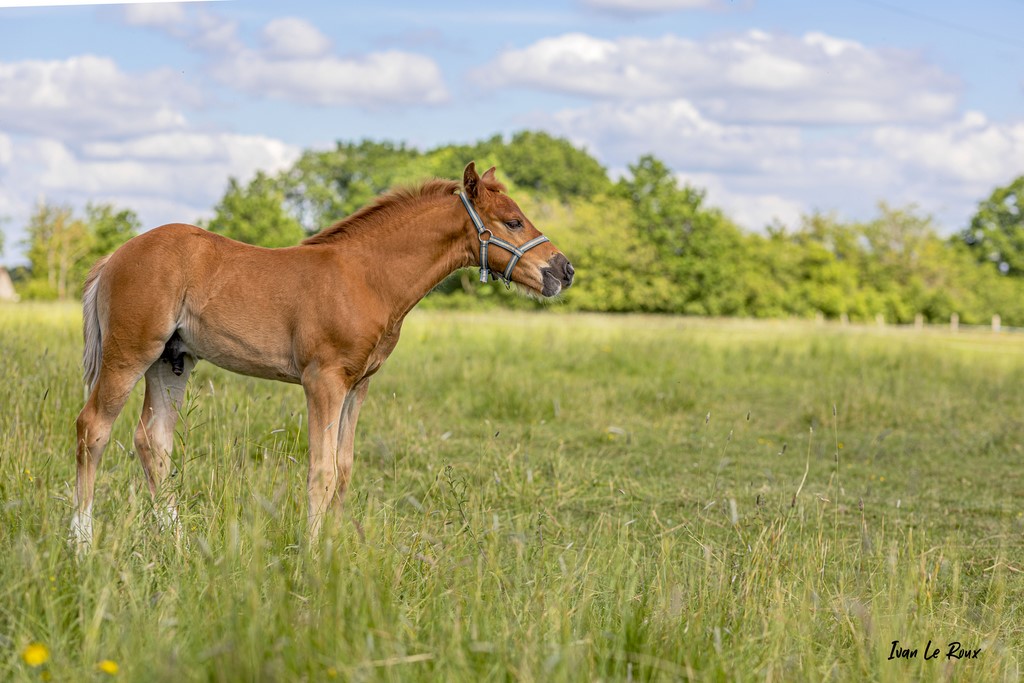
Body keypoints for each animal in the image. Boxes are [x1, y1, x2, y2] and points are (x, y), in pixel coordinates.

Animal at [72, 161, 577, 548]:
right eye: (513, 221)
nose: (564, 270)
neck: (366, 276)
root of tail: (114, 256)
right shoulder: (324, 381)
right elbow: (322, 469)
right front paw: (313, 554)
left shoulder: (359, 384)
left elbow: (345, 468)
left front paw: (334, 549)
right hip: (130, 353)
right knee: (93, 428)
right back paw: (81, 541)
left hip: (171, 362)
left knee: (152, 441)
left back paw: (176, 540)